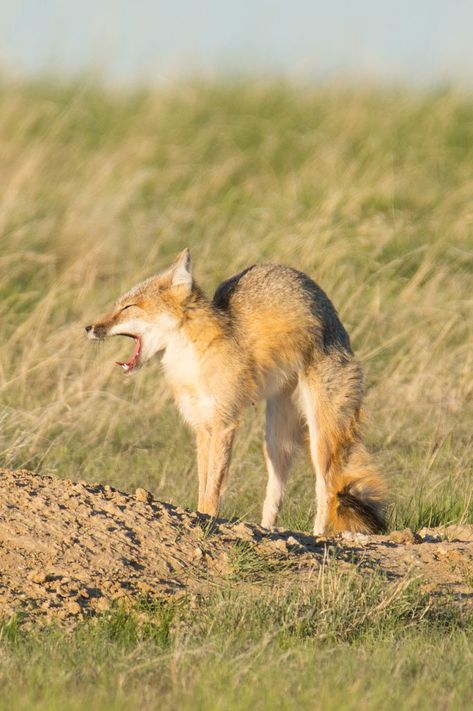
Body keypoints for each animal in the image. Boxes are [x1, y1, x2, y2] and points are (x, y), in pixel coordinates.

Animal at [85, 250, 384, 536]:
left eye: (128, 307)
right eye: (118, 305)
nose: (88, 327)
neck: (192, 360)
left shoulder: (224, 423)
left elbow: (213, 489)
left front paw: (206, 520)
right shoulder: (202, 426)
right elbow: (203, 484)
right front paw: (199, 516)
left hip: (320, 439)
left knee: (327, 491)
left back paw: (319, 536)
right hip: (275, 440)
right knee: (275, 495)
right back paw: (266, 530)